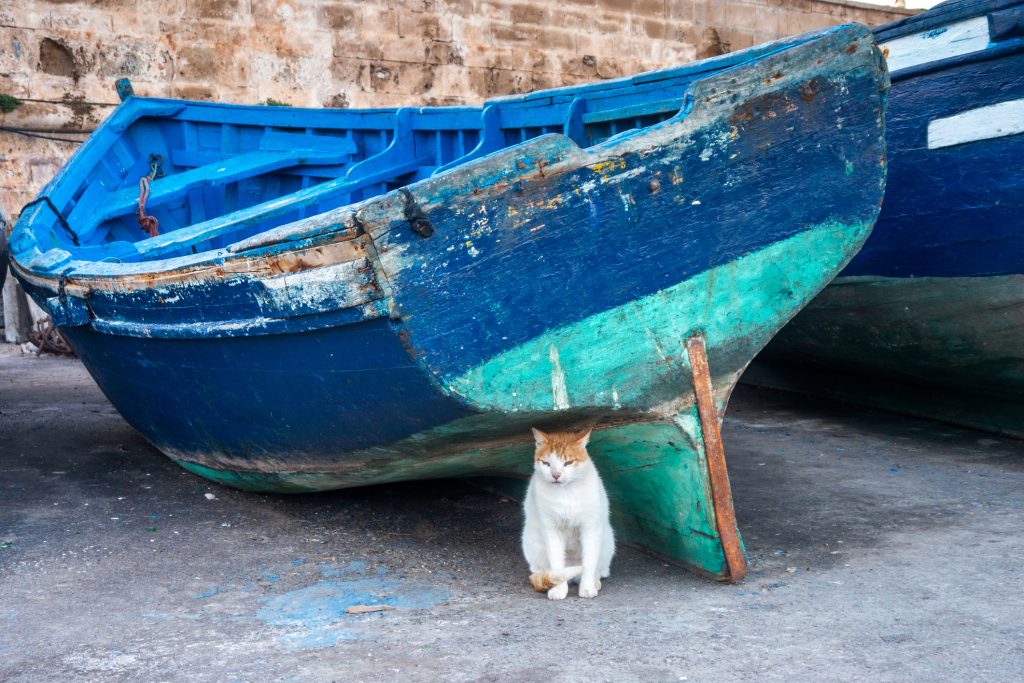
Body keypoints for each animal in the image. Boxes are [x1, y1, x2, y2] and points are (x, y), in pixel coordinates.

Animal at [524, 430, 610, 602]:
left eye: (568, 463)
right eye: (546, 463)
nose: (556, 475)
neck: (566, 492)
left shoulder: (590, 528)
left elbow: (589, 563)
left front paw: (587, 587)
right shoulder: (551, 529)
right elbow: (557, 565)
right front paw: (559, 590)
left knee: (599, 569)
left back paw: (595, 581)